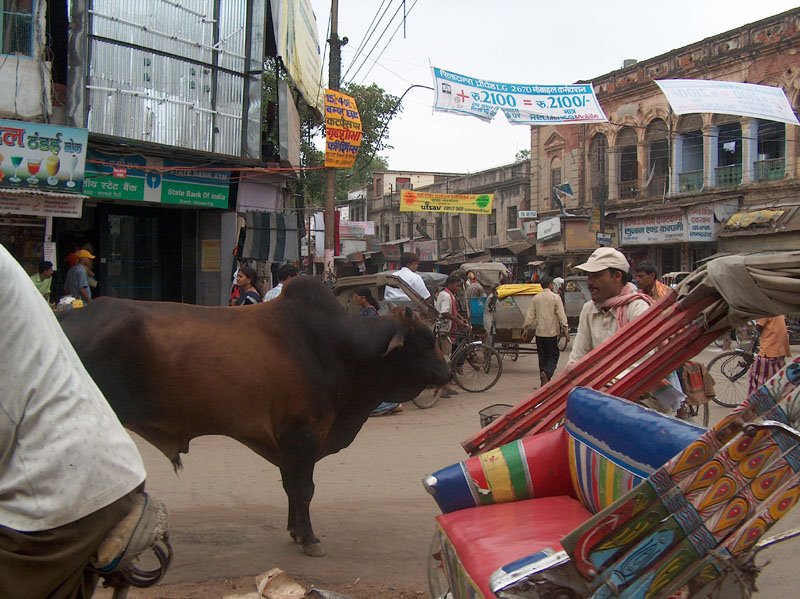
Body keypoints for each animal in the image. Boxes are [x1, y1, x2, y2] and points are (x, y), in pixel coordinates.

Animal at [61, 276, 450, 556]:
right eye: (425, 339)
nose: (447, 373)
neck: (340, 347)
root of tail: (68, 316)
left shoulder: (288, 443)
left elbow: (291, 487)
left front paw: (295, 532)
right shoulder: (303, 434)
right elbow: (303, 488)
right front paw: (310, 540)